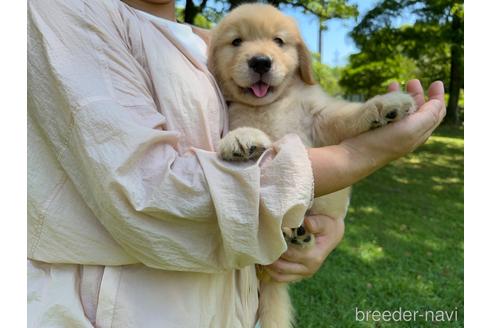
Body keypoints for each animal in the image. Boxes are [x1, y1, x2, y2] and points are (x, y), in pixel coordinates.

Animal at [208, 3, 416, 328]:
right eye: (236, 42)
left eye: (278, 41)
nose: (260, 62)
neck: (272, 103)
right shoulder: (236, 115)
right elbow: (244, 133)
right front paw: (241, 139)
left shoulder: (320, 117)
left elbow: (346, 116)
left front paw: (385, 105)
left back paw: (299, 235)